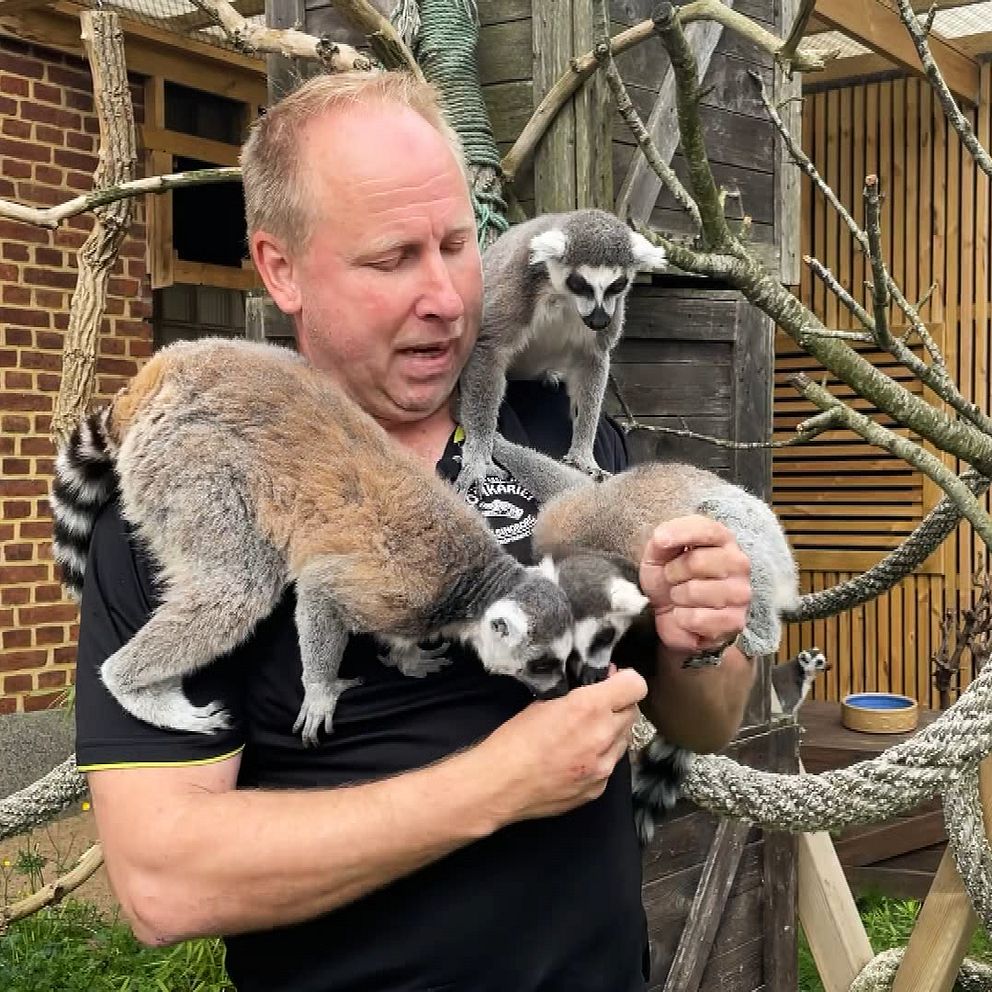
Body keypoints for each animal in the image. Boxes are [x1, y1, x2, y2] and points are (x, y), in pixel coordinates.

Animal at [50, 337, 578, 746]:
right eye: (541, 664)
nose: (560, 691)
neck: (474, 581)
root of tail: (160, 373)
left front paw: (407, 658)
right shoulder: (402, 590)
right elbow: (320, 592)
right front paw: (322, 690)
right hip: (187, 462)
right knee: (238, 588)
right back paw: (134, 688)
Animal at [454, 209, 667, 493]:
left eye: (617, 285)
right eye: (579, 283)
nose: (599, 320)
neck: (563, 297)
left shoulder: (613, 310)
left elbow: (593, 359)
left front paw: (582, 455)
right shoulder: (518, 279)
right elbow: (489, 348)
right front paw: (479, 454)